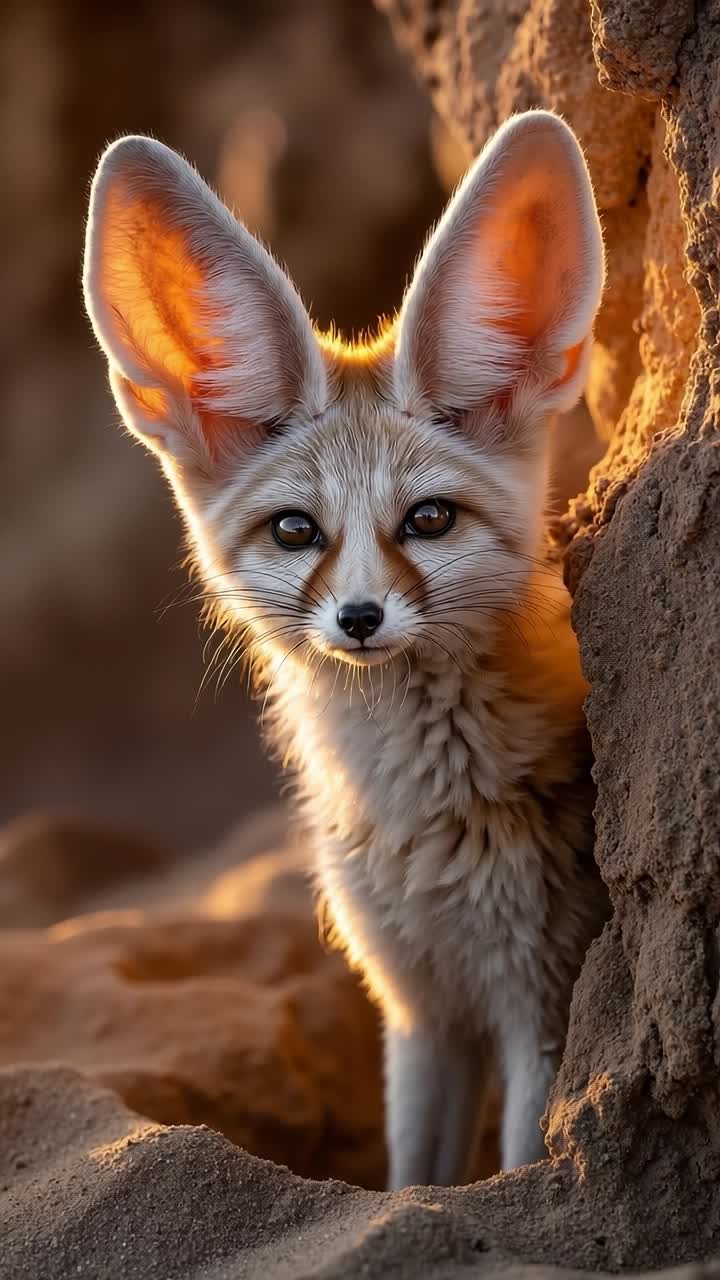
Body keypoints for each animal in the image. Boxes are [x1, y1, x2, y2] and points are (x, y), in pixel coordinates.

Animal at [83, 109, 610, 1188]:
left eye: (429, 519)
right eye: (296, 531)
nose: (360, 618)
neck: (416, 820)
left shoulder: (541, 994)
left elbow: (518, 1157)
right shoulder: (416, 1007)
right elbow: (413, 1178)